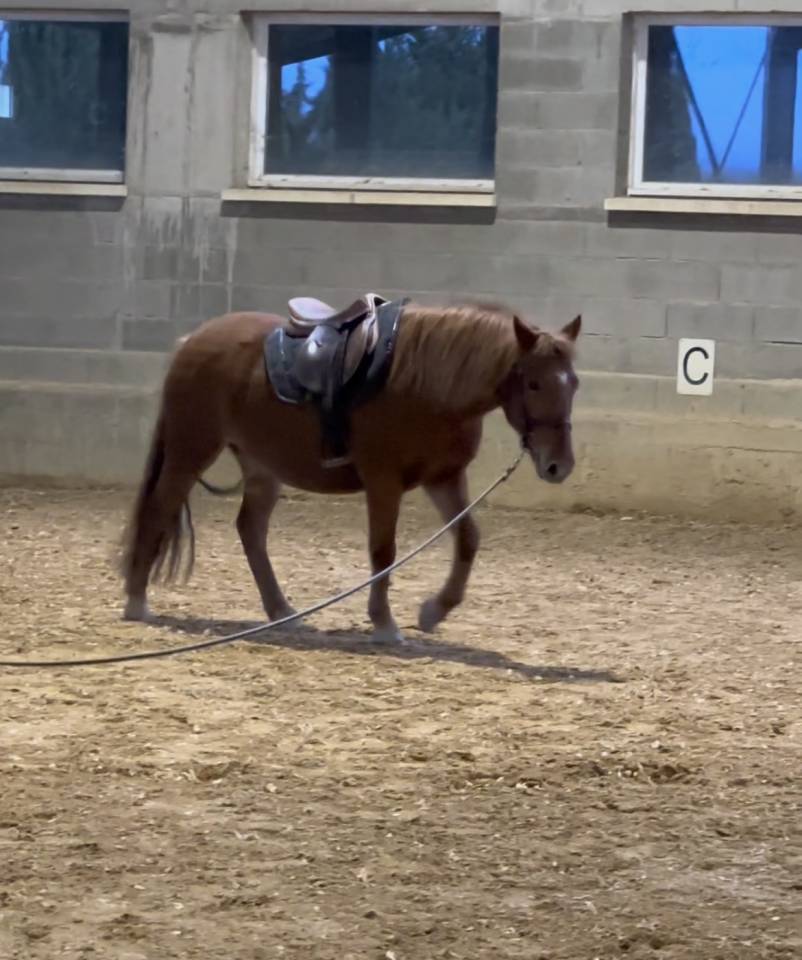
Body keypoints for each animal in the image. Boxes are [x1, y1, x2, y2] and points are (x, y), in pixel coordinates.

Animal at [121, 301, 581, 643]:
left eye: (573, 383)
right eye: (534, 384)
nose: (558, 465)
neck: (428, 384)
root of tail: (191, 341)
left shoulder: (444, 478)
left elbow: (467, 539)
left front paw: (433, 611)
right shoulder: (383, 482)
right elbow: (383, 550)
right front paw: (384, 623)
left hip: (261, 466)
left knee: (250, 529)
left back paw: (281, 610)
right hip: (190, 450)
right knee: (159, 509)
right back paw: (136, 601)